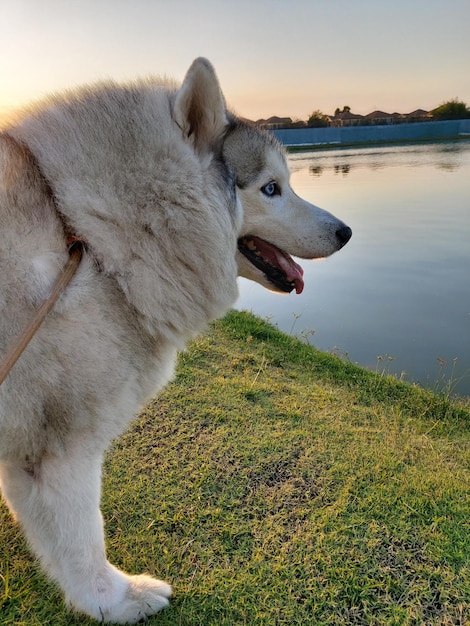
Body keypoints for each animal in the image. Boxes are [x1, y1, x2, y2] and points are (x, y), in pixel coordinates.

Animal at [0, 57, 348, 620]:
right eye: (271, 188)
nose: (345, 232)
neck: (91, 239)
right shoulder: (58, 449)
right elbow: (82, 541)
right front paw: (112, 602)